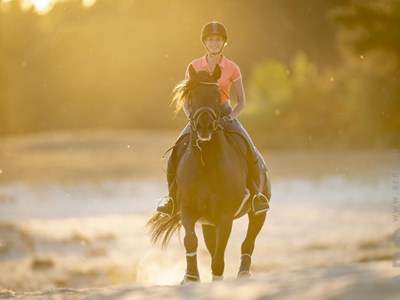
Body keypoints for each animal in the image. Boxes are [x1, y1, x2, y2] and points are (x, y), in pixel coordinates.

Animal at [148, 63, 272, 284]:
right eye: (191, 94)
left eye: (216, 95)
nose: (204, 125)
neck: (206, 162)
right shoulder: (188, 209)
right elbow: (191, 241)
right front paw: (190, 276)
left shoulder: (225, 215)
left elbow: (219, 253)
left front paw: (215, 278)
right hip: (207, 223)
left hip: (258, 213)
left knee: (249, 241)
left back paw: (244, 272)